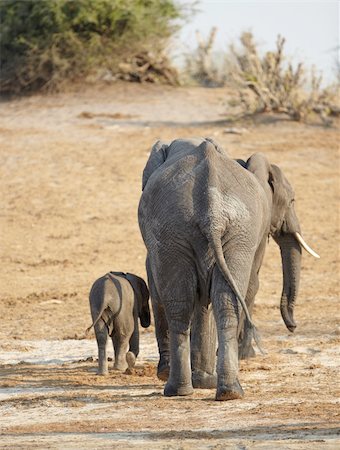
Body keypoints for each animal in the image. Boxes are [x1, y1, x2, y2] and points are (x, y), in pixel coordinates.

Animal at [138, 137, 318, 400]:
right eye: (292, 201)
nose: (293, 326)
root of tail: (211, 209)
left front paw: (203, 380)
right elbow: (251, 284)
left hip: (224, 231)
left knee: (198, 302)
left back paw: (204, 389)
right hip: (190, 232)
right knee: (198, 301)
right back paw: (203, 389)